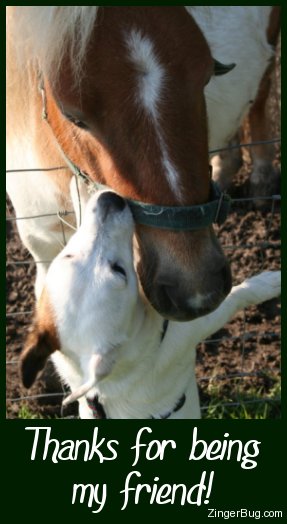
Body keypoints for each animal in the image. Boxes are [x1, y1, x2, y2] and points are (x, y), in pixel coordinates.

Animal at [6, 6, 282, 322]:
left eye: (207, 76)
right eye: (72, 115)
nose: (197, 287)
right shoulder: (43, 244)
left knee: (260, 95)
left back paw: (261, 177)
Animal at [19, 190, 282, 420]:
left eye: (67, 256)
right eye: (120, 271)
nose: (111, 199)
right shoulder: (194, 326)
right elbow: (240, 295)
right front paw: (272, 281)